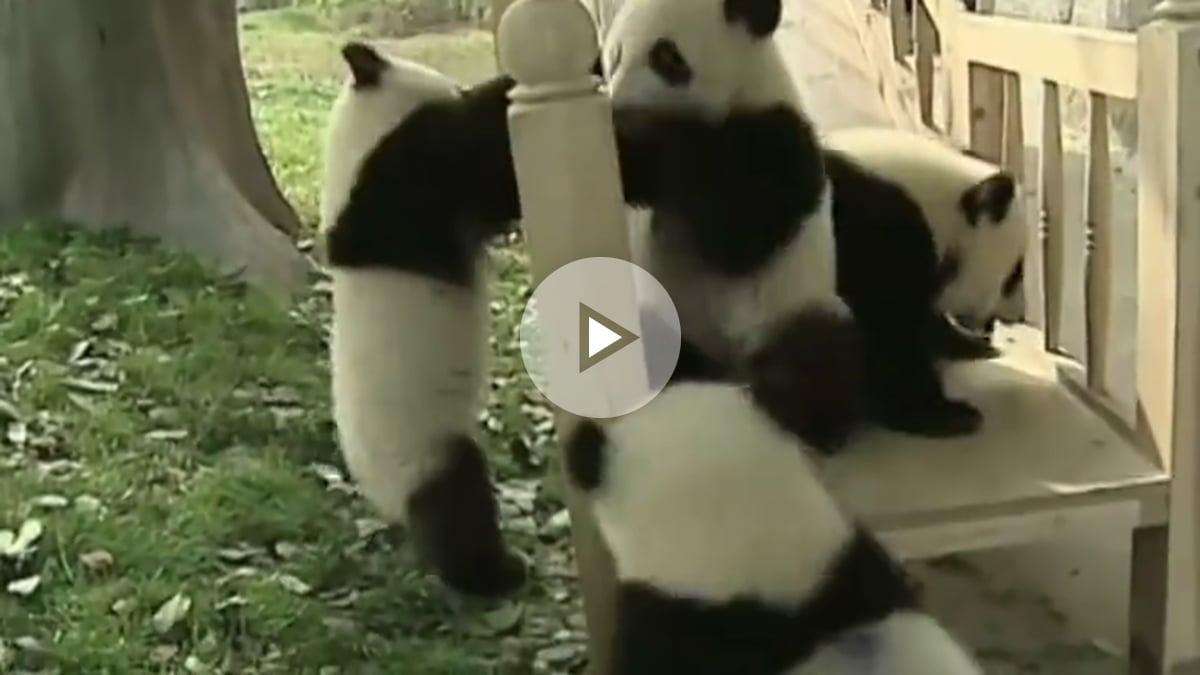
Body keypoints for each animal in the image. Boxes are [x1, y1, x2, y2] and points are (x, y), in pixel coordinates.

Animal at [320, 41, 527, 598]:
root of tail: (381, 497)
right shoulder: (408, 178)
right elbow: (488, 171)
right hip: (423, 449)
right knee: (457, 503)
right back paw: (496, 574)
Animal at [601, 0, 869, 453]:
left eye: (667, 58)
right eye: (614, 56)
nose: (618, 103)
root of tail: (722, 365)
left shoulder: (779, 138)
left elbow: (735, 236)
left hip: (790, 306)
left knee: (818, 359)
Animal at [821, 126, 1028, 436]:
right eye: (1015, 275)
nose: (1017, 315)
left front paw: (970, 346)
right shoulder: (872, 242)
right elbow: (889, 331)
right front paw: (945, 413)